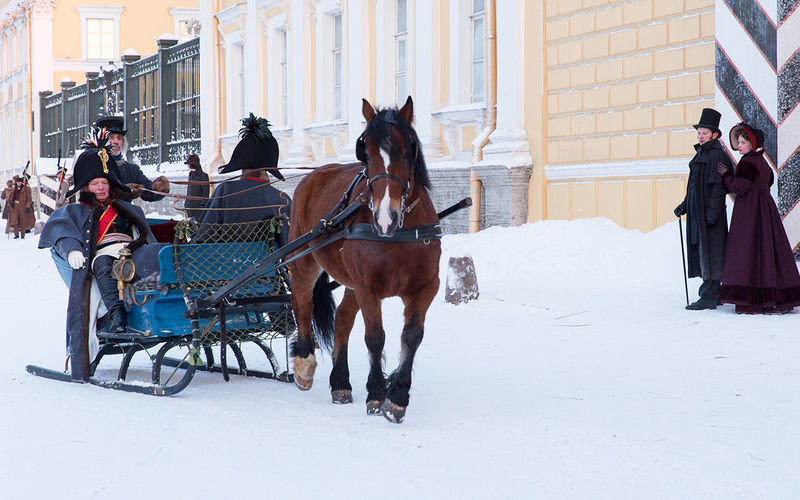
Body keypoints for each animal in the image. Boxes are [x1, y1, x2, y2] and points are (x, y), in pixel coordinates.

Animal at [288, 96, 440, 422]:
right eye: (366, 154)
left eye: (407, 151)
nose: (385, 217)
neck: (396, 235)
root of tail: (314, 174)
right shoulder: (368, 288)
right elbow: (375, 337)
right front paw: (377, 393)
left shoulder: (426, 288)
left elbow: (411, 336)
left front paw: (397, 396)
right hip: (304, 261)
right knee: (302, 303)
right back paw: (304, 365)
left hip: (350, 282)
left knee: (343, 319)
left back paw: (340, 383)